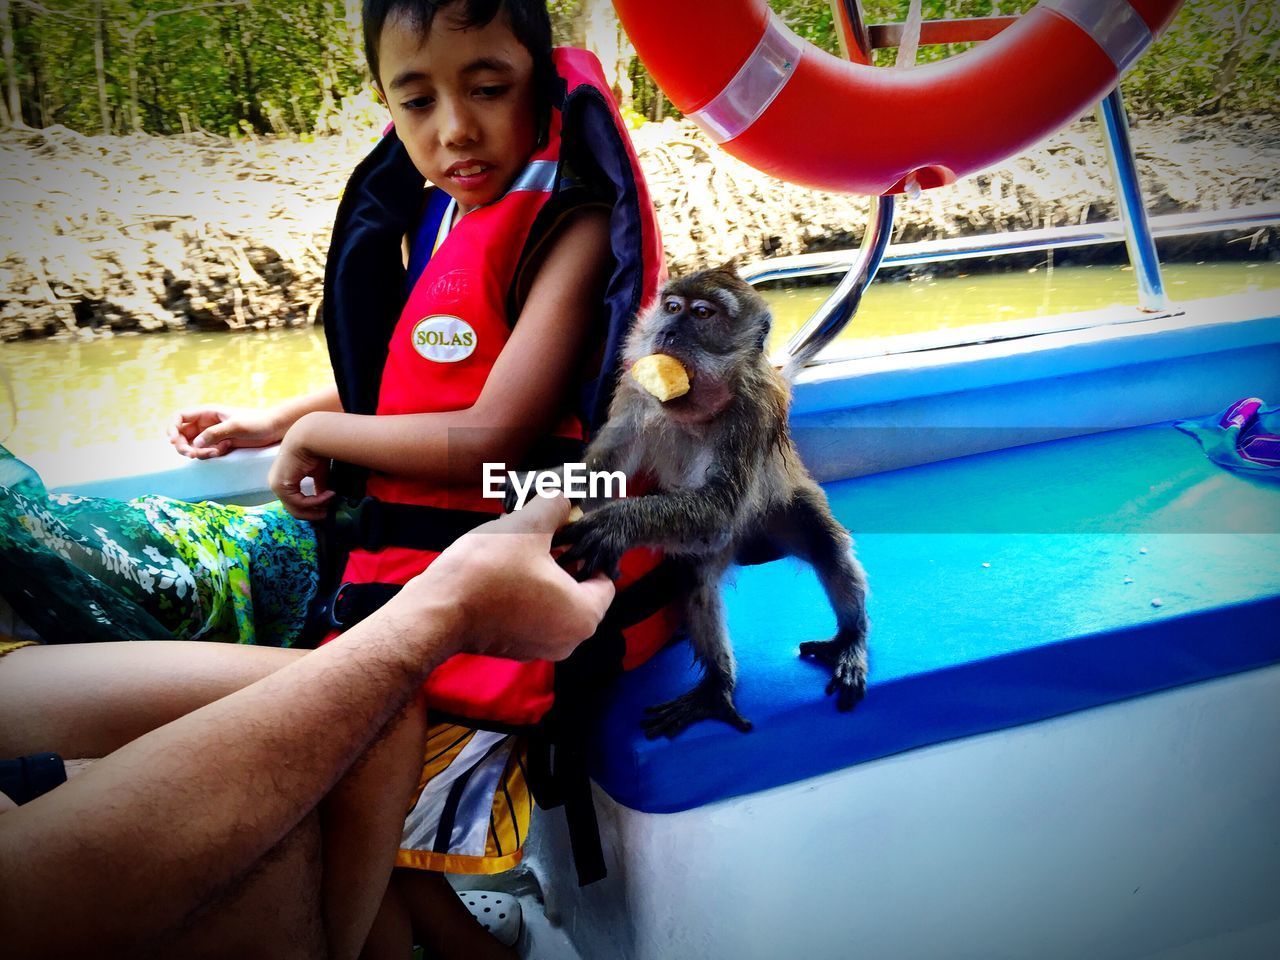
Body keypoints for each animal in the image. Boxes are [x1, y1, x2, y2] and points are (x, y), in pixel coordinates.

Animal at [550, 264, 870, 742]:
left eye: (702, 313)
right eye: (671, 306)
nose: (668, 330)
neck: (692, 408)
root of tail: (750, 543)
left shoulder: (752, 411)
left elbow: (719, 507)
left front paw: (616, 525)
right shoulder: (634, 390)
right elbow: (604, 470)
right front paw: (544, 482)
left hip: (780, 512)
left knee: (825, 545)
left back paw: (850, 639)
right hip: (714, 544)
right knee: (696, 577)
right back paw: (717, 685)